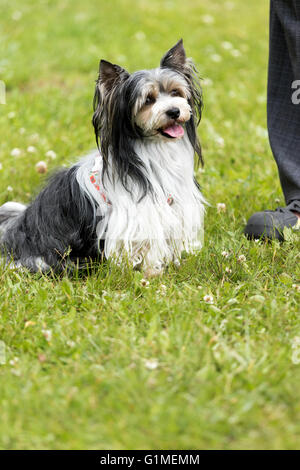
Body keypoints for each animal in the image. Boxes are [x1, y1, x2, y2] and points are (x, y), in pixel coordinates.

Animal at [0, 40, 205, 278]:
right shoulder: (136, 219)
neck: (154, 148)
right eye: (148, 100)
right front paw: (151, 273)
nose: (174, 111)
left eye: (176, 92)